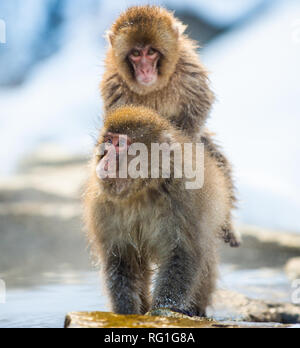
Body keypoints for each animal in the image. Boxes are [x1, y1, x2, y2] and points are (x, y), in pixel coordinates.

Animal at [83, 106, 233, 318]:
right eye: (108, 141)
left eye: (120, 144)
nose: (104, 160)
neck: (144, 189)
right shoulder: (103, 204)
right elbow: (120, 259)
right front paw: (126, 313)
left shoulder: (186, 197)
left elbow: (182, 254)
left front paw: (161, 310)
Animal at [101, 4, 239, 247]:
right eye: (136, 54)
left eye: (151, 52)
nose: (145, 70)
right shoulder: (114, 89)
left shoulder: (189, 72)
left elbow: (198, 107)